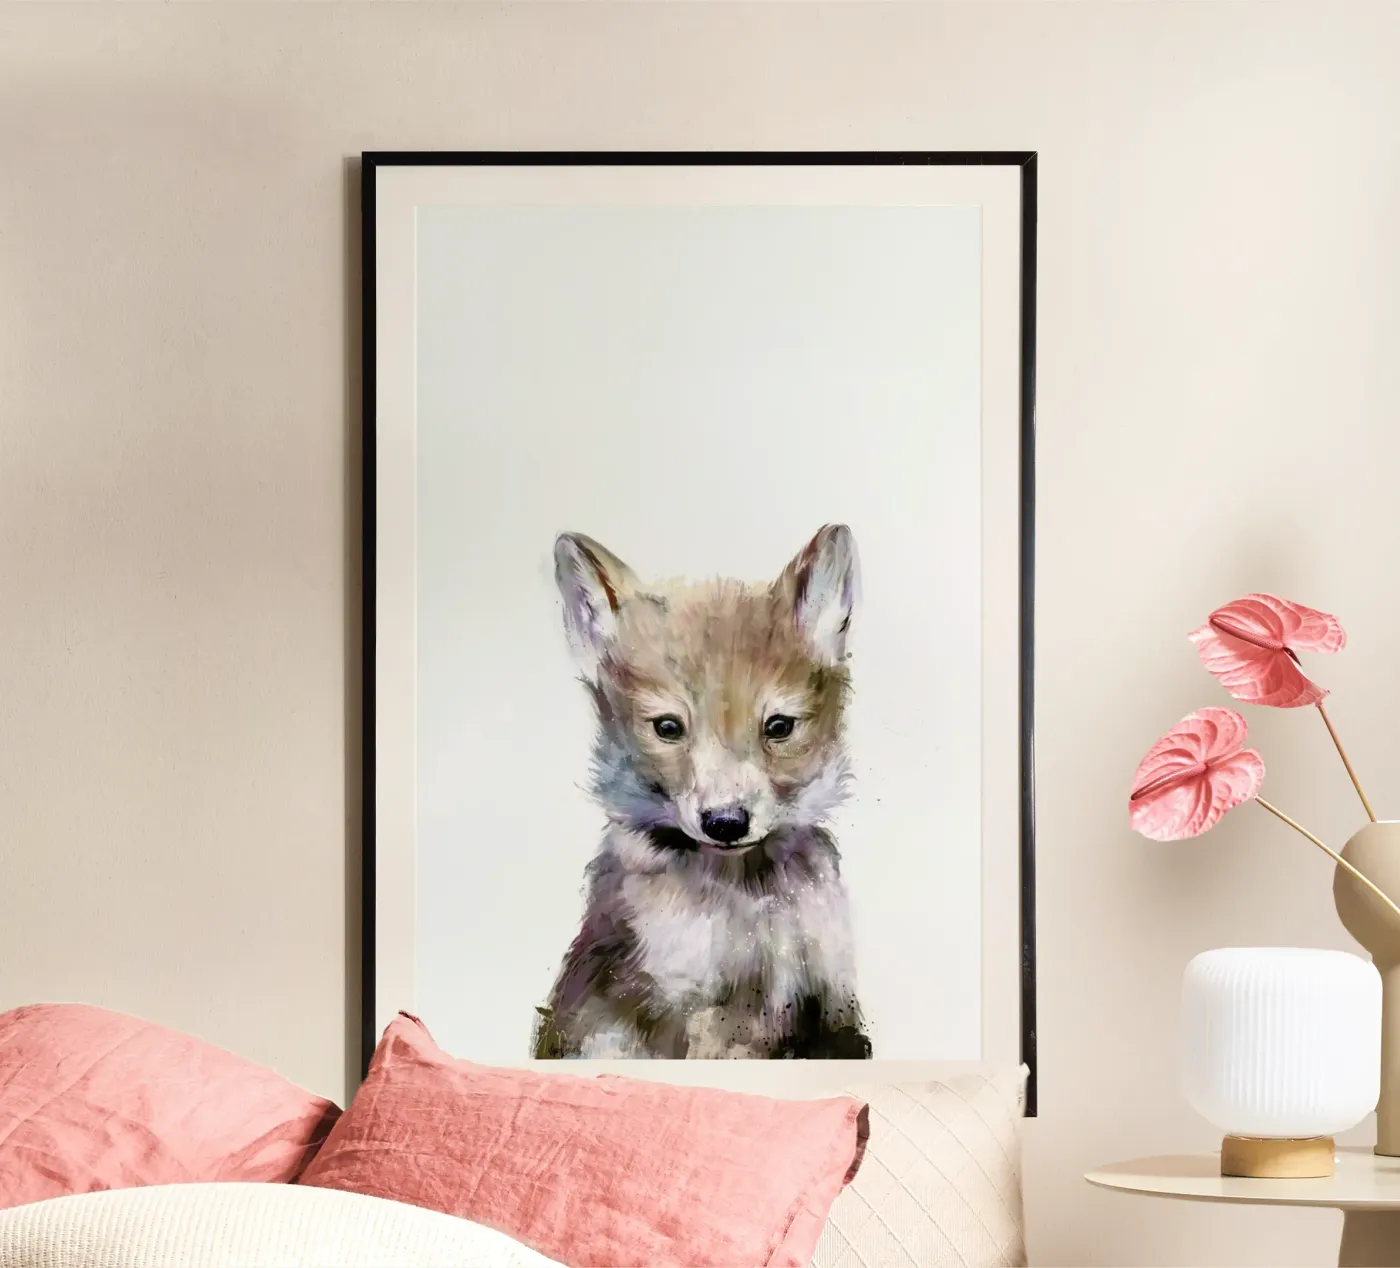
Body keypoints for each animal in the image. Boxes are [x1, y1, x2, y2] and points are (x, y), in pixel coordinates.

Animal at [532, 524, 872, 1060]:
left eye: (779, 727)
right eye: (668, 728)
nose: (726, 824)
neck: (747, 899)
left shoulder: (831, 1006)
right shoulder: (690, 1011)